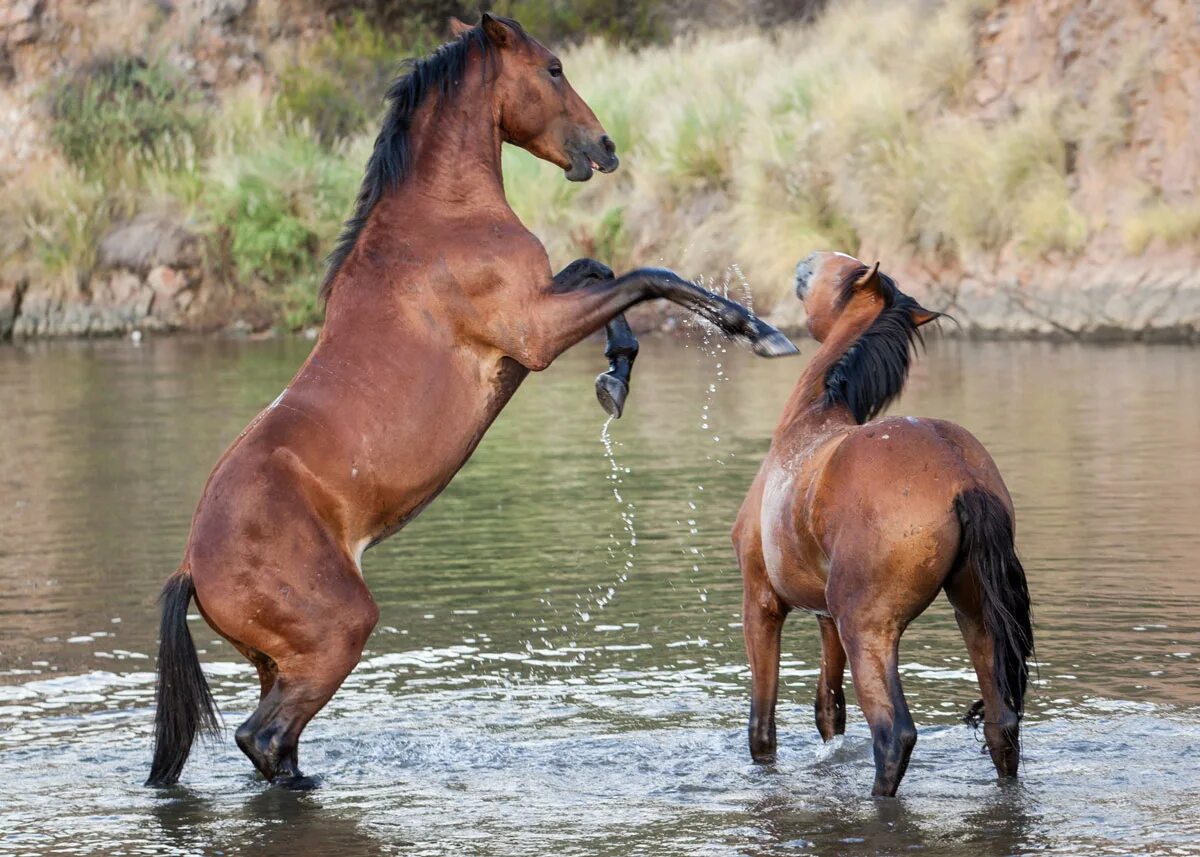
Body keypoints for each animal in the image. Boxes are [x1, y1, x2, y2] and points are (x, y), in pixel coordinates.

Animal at [142, 15, 796, 787]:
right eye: (553, 68)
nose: (604, 147)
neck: (440, 216)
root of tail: (193, 566)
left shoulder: (542, 307)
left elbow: (601, 268)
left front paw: (615, 378)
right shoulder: (535, 334)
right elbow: (647, 274)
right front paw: (757, 330)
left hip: (280, 662)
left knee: (273, 743)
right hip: (336, 635)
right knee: (265, 737)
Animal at [724, 252, 1036, 792]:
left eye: (839, 266)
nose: (805, 261)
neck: (808, 422)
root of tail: (960, 474)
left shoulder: (762, 602)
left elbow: (762, 726)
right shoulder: (825, 617)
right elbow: (829, 710)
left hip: (869, 629)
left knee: (894, 734)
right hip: (974, 617)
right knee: (1002, 725)